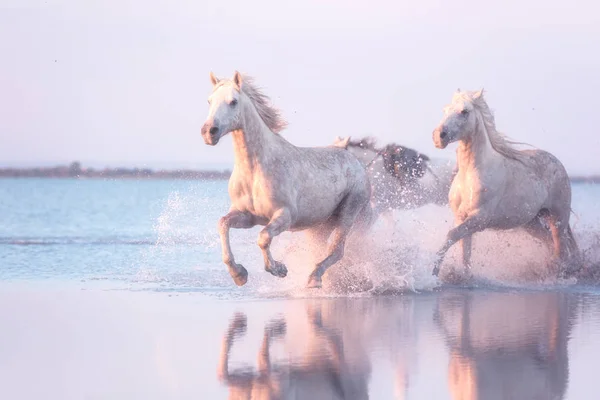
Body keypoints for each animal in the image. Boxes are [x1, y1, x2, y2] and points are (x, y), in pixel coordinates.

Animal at [200, 72, 370, 290]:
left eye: (233, 101)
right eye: (209, 101)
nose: (208, 132)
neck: (255, 171)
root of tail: (355, 160)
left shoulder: (284, 216)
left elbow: (263, 238)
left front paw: (279, 269)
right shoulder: (247, 216)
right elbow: (223, 224)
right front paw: (239, 274)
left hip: (348, 213)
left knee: (337, 250)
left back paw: (314, 278)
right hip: (320, 225)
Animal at [428, 89, 580, 276]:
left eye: (464, 111)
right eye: (445, 110)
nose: (438, 136)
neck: (470, 176)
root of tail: (558, 163)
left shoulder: (480, 219)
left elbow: (451, 236)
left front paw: (433, 272)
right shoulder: (461, 217)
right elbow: (465, 251)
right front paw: (463, 276)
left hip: (558, 218)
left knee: (561, 250)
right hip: (531, 222)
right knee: (550, 242)